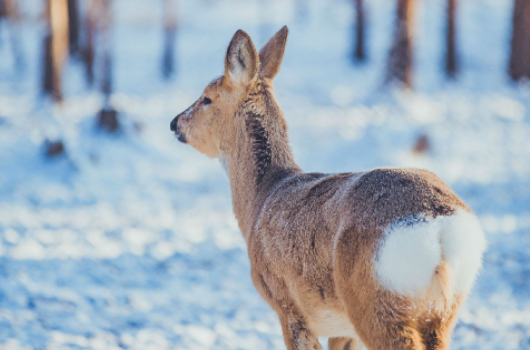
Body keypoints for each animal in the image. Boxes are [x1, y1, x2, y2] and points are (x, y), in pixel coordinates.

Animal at [169, 26, 482, 348]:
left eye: (207, 98)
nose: (175, 123)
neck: (261, 198)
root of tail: (440, 227)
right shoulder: (343, 328)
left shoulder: (286, 304)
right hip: (444, 312)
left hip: (376, 302)